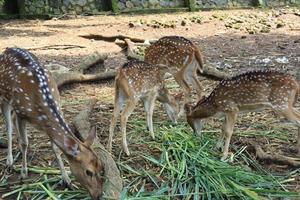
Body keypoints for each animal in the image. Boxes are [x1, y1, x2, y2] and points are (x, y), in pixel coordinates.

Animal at [0, 47, 104, 199]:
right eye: (88, 172)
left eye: (101, 166)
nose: (98, 194)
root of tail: (7, 49)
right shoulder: (21, 113)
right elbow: (25, 143)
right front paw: (23, 173)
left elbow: (55, 148)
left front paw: (66, 179)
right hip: (4, 97)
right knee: (8, 127)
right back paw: (10, 162)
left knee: (11, 121)